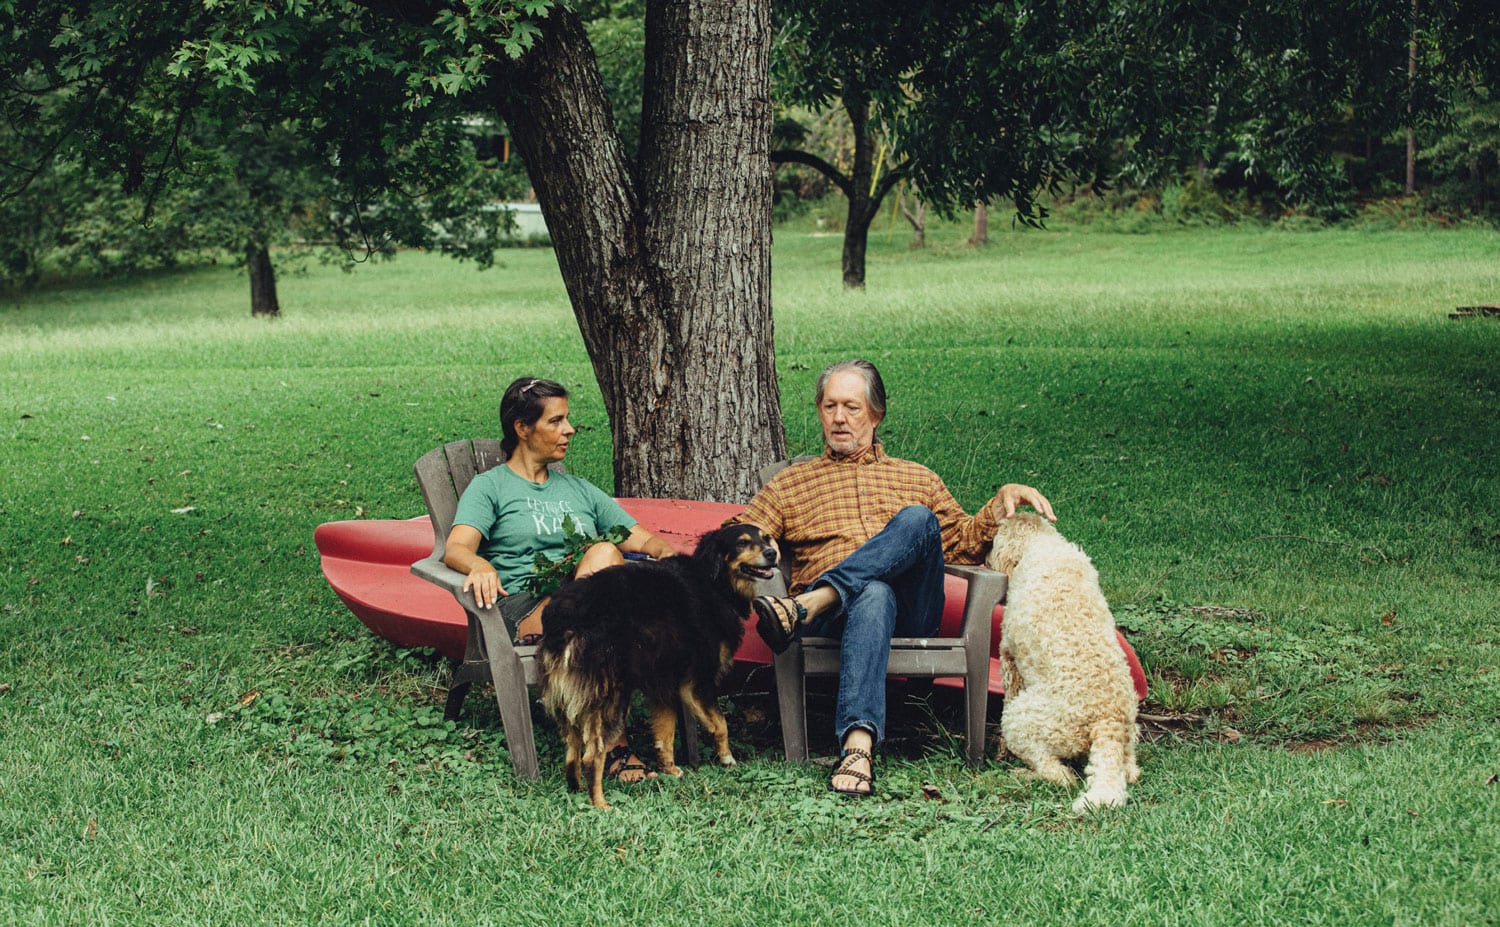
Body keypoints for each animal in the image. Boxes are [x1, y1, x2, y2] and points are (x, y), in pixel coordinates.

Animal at [537, 524, 779, 809]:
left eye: (766, 538)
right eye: (741, 543)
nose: (772, 553)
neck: (714, 581)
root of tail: (564, 615)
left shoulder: (665, 684)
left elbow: (664, 735)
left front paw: (669, 769)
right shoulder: (698, 681)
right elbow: (721, 725)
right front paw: (727, 758)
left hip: (573, 700)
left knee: (572, 751)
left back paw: (577, 790)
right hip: (612, 697)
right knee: (592, 755)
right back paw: (601, 804)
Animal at [986, 512, 1140, 813]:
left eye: (995, 540)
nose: (984, 557)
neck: (1042, 543)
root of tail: (1108, 718)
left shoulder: (1009, 658)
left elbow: (1009, 690)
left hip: (1022, 720)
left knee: (1059, 774)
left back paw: (1023, 773)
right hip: (1129, 735)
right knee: (1130, 771)